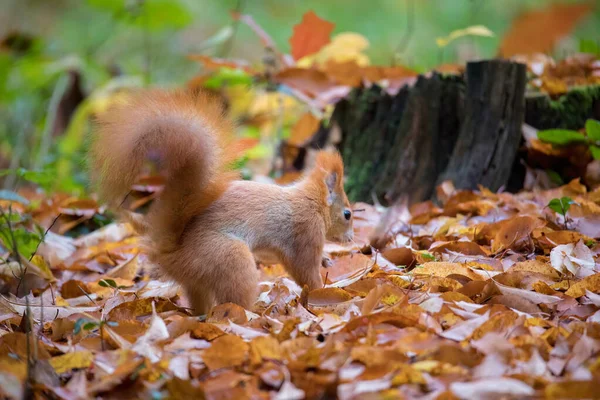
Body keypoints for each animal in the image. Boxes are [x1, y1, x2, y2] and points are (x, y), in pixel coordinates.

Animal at [91, 89, 354, 314]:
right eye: (348, 214)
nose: (351, 238)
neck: (312, 202)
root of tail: (173, 251)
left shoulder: (276, 247)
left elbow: (275, 257)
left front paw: (326, 259)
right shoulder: (306, 231)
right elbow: (304, 270)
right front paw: (322, 291)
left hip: (197, 280)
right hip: (230, 260)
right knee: (235, 299)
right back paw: (253, 313)